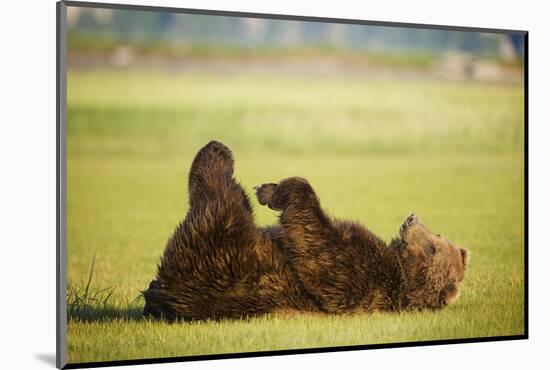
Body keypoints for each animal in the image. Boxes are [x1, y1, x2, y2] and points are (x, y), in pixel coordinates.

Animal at [142, 142, 470, 320]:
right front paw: (270, 187)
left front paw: (273, 191)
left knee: (219, 200)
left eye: (434, 247)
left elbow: (319, 246)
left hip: (218, 257)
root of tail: (166, 296)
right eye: (439, 237)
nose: (412, 218)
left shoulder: (361, 274)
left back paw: (217, 153)